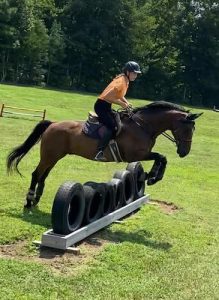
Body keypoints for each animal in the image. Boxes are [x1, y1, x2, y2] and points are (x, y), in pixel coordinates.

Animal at [6, 101, 202, 209]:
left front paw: (150, 176)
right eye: (187, 129)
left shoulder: (142, 154)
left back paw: (36, 199)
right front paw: (152, 177)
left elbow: (162, 158)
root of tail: (53, 124)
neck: (143, 126)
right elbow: (161, 157)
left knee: (43, 175)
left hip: (55, 157)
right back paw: (29, 201)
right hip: (49, 156)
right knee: (36, 174)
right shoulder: (134, 155)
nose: (184, 152)